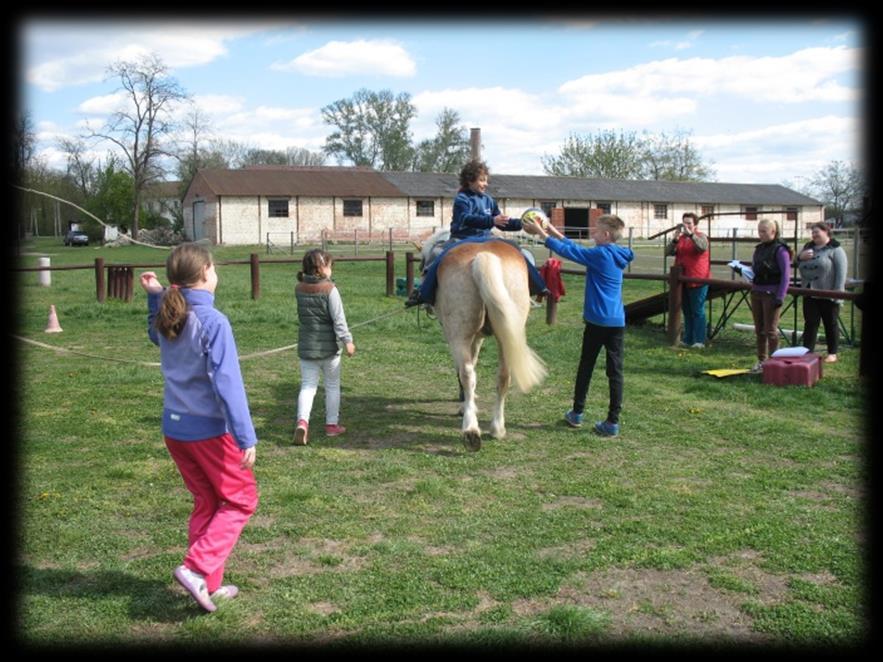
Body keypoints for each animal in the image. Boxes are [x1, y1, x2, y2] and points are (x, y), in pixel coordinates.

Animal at [420, 228, 544, 452]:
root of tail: (483, 256)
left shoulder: (466, 338)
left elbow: (464, 369)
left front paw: (464, 404)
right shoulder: (478, 337)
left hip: (459, 335)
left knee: (468, 374)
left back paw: (471, 430)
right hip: (507, 335)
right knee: (503, 376)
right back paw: (497, 428)